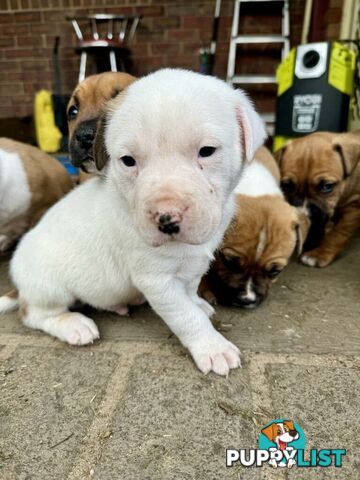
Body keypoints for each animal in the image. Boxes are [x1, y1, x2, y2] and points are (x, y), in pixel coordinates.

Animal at [1, 68, 266, 376]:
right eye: (128, 161)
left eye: (207, 151)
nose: (166, 218)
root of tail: (19, 287)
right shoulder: (156, 280)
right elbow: (185, 315)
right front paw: (212, 347)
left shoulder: (193, 265)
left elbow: (190, 291)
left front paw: (199, 303)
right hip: (50, 288)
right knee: (35, 315)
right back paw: (73, 325)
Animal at [276, 130, 360, 266]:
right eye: (287, 186)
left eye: (326, 186)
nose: (302, 216)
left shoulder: (354, 207)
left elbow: (339, 233)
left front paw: (319, 253)